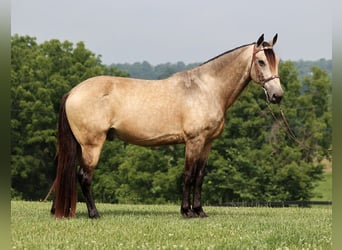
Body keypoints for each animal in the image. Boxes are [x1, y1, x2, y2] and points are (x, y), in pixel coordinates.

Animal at [50, 33, 284, 219]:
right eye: (261, 61)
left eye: (277, 61)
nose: (277, 95)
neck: (206, 89)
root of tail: (73, 91)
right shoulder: (194, 141)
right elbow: (188, 175)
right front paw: (187, 211)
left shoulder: (207, 143)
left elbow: (199, 177)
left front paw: (200, 211)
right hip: (92, 145)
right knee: (84, 177)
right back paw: (94, 213)